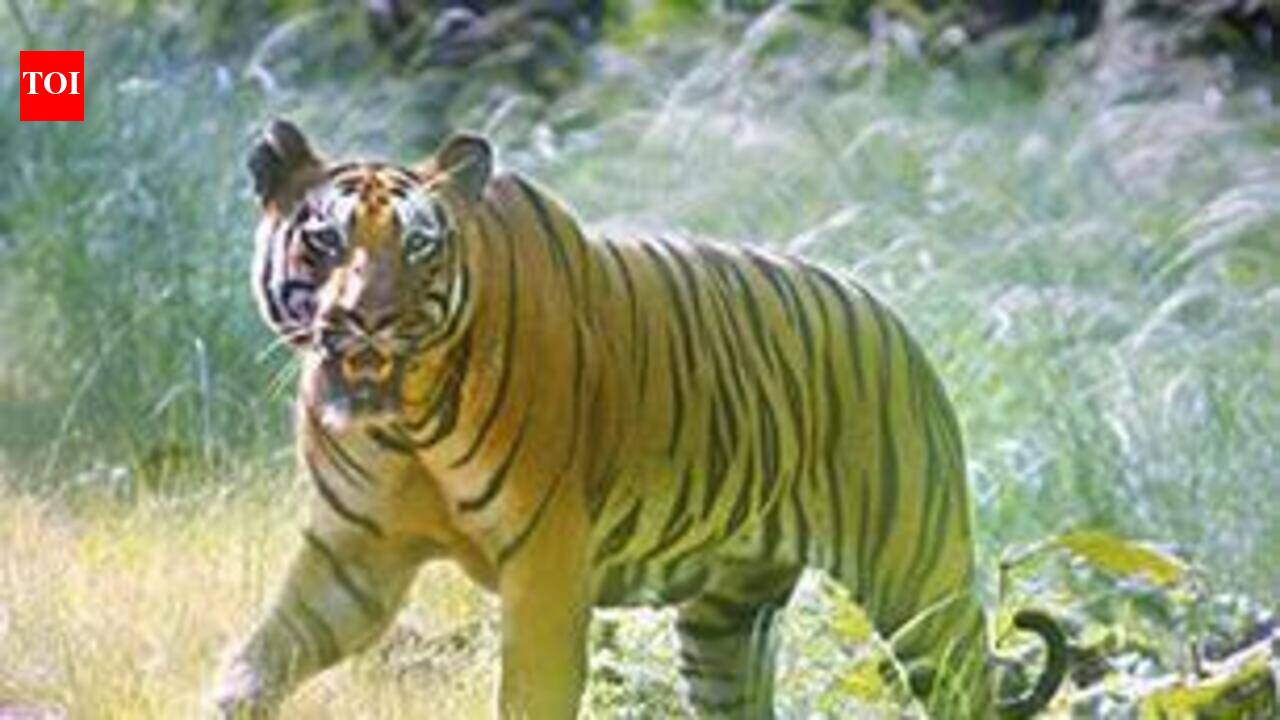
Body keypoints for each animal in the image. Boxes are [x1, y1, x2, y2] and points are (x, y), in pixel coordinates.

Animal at [213, 119, 1067, 719]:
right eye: (324, 240)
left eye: (420, 246)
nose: (369, 318)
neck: (406, 425)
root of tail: (890, 314)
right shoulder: (354, 557)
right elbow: (257, 660)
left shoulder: (547, 560)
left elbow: (530, 696)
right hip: (726, 624)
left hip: (917, 575)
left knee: (966, 684)